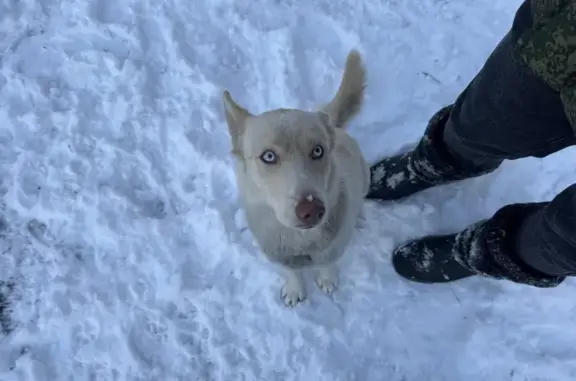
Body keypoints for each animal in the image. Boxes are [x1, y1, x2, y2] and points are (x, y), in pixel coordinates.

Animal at [220, 48, 368, 306]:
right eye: (268, 156)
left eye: (318, 150)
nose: (311, 209)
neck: (300, 240)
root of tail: (331, 121)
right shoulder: (279, 255)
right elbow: (291, 273)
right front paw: (294, 289)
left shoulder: (333, 249)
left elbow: (328, 264)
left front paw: (327, 280)